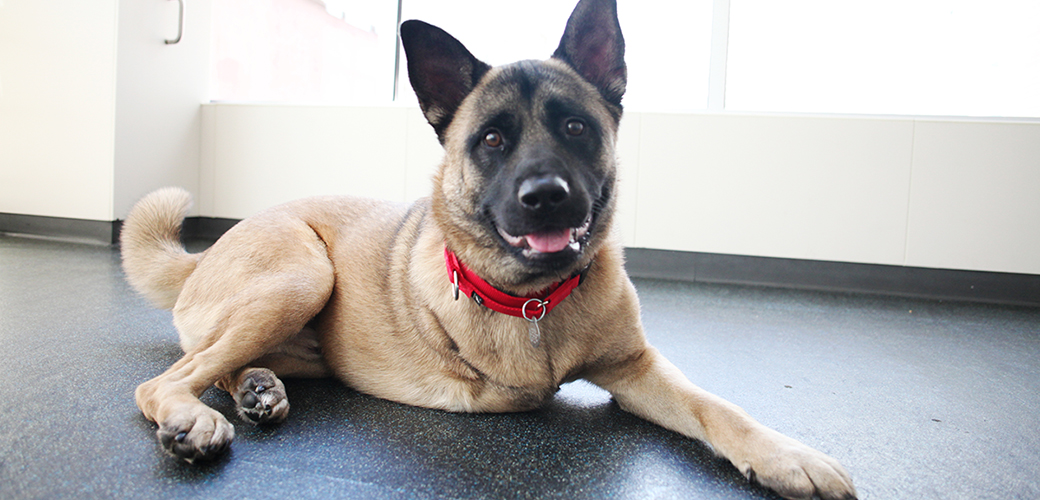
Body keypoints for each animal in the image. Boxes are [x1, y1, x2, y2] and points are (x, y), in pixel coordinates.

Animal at [121, 1, 852, 496]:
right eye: (493, 140)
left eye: (575, 127)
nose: (546, 196)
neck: (533, 302)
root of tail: (203, 257)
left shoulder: (636, 369)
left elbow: (716, 406)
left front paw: (785, 454)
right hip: (303, 273)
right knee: (167, 379)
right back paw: (194, 418)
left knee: (212, 362)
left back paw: (256, 387)